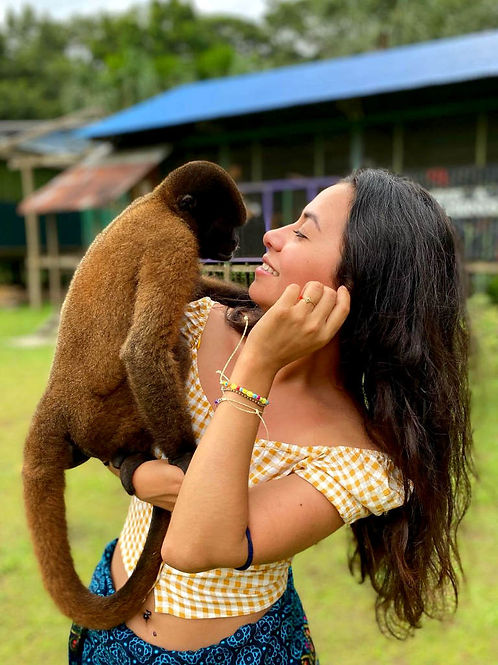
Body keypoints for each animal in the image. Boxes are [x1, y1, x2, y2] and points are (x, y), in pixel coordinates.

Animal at [22, 160, 253, 631]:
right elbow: (143, 349)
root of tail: (54, 400)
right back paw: (134, 455)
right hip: (109, 418)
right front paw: (185, 457)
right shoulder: (174, 242)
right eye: (230, 224)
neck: (160, 202)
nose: (238, 243)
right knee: (172, 346)